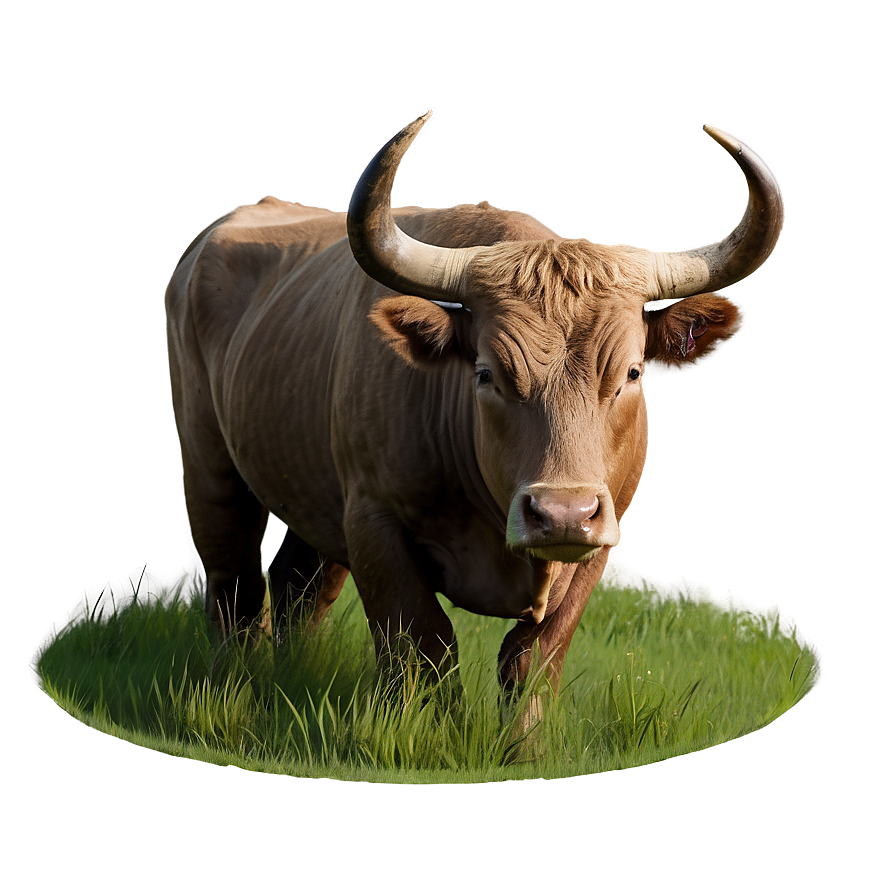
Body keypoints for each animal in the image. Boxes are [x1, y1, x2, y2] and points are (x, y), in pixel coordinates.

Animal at [166, 112, 783, 711]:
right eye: (487, 373)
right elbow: (424, 649)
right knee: (234, 588)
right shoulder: (374, 523)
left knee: (299, 584)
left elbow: (533, 663)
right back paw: (234, 689)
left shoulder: (596, 549)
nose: (563, 514)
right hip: (209, 467)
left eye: (632, 372)